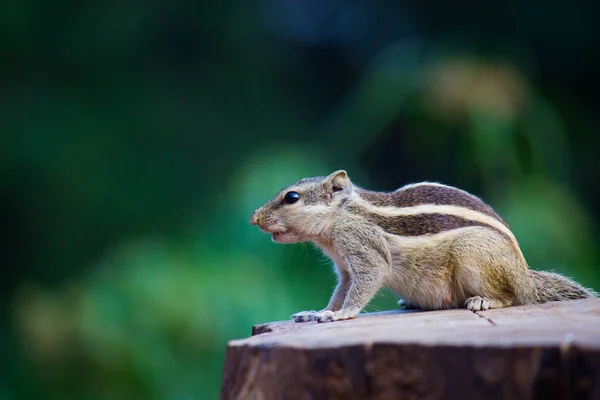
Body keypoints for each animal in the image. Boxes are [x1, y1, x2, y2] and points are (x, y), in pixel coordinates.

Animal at [248, 170, 596, 324]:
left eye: (292, 197)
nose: (254, 217)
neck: (343, 216)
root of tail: (526, 276)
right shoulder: (345, 268)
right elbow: (340, 290)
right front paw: (318, 312)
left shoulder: (365, 249)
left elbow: (363, 285)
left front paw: (342, 314)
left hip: (472, 254)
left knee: (513, 298)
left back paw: (484, 301)